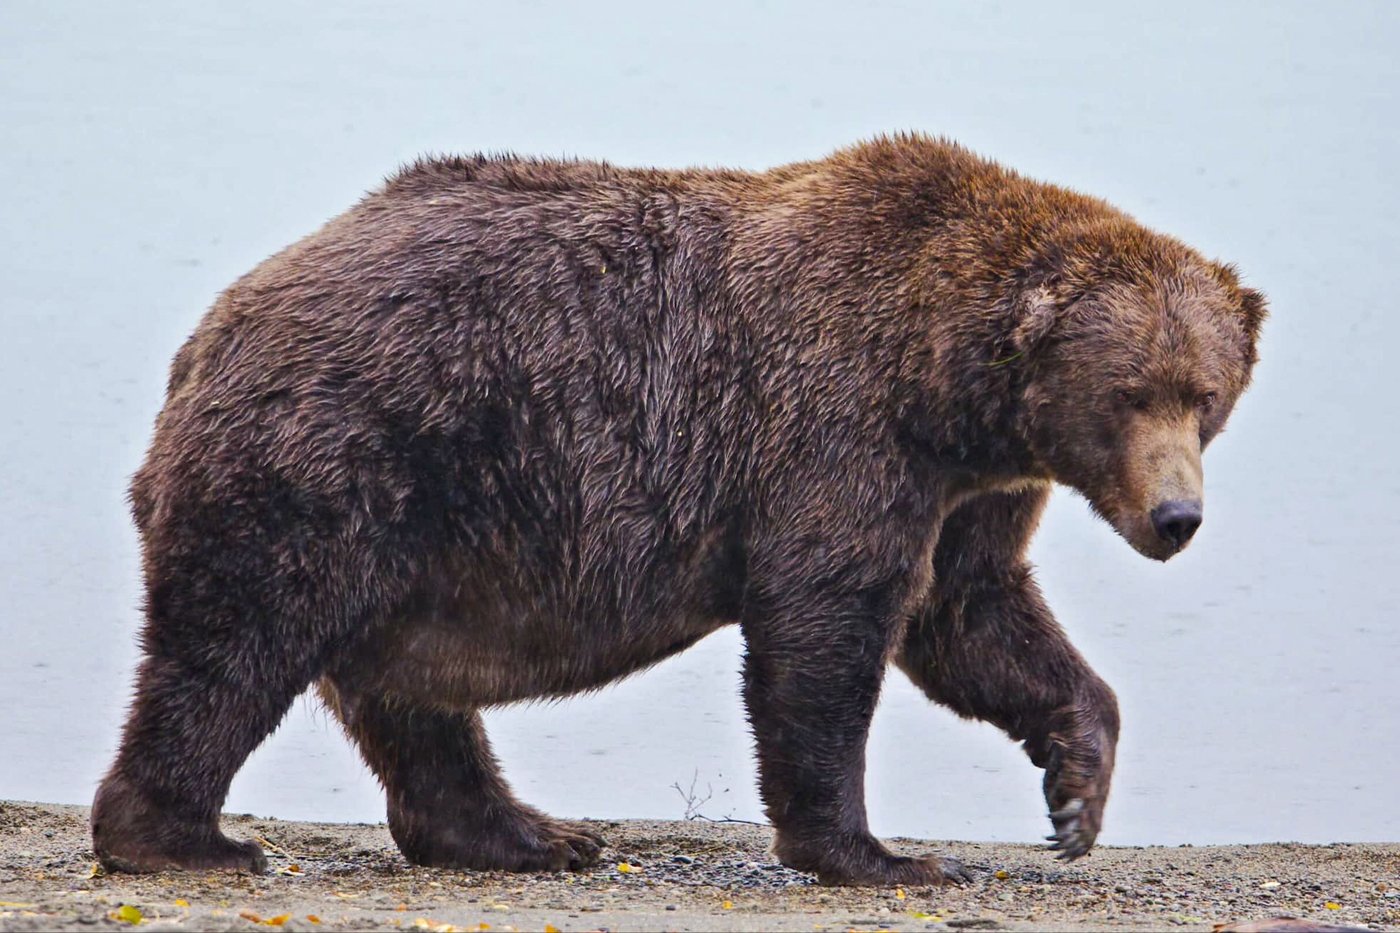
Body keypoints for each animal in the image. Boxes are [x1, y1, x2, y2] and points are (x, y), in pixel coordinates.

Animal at [92, 133, 1265, 886]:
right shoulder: (835, 427)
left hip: (416, 532)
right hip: (339, 455)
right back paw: (184, 837)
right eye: (1129, 393)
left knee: (408, 697)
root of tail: (209, 330)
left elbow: (972, 616)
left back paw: (525, 836)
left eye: (1203, 395)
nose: (1175, 517)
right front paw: (880, 854)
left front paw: (1074, 793)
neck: (943, 382)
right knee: (235, 646)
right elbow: (826, 626)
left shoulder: (972, 488)